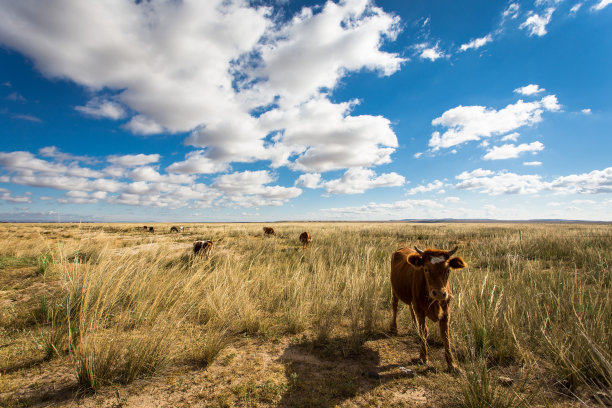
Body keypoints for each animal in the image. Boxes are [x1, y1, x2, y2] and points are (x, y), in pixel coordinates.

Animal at [392, 244, 468, 372]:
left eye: (448, 270)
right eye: (426, 269)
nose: (439, 293)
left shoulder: (446, 312)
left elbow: (445, 335)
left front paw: (452, 364)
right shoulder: (420, 310)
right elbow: (424, 331)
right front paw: (423, 356)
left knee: (410, 308)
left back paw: (414, 327)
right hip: (394, 291)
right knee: (394, 306)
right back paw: (393, 328)